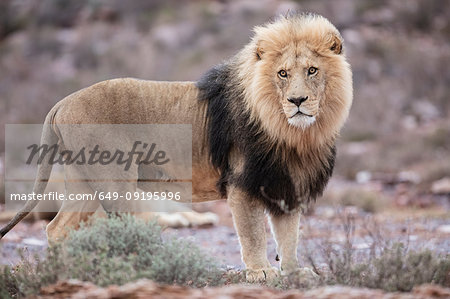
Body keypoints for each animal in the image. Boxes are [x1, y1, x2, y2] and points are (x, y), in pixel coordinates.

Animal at [0, 12, 352, 282]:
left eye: (312, 70)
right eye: (282, 73)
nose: (297, 100)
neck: (295, 134)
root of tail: (62, 102)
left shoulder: (286, 185)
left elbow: (289, 236)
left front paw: (294, 272)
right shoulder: (243, 183)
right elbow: (253, 233)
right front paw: (261, 272)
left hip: (82, 182)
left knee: (57, 228)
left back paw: (67, 271)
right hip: (116, 183)